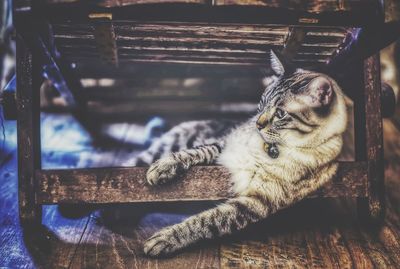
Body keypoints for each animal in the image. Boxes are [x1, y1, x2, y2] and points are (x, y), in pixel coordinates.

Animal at [141, 50, 346, 255]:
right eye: (262, 102)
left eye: (280, 114)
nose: (257, 124)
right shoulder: (227, 144)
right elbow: (200, 151)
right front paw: (165, 166)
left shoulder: (258, 201)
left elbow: (207, 220)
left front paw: (167, 237)